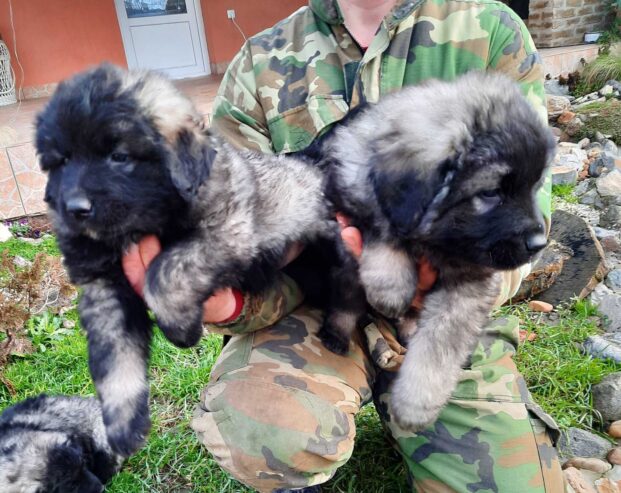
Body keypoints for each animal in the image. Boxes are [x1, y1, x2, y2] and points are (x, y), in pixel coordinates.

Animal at [312, 71, 556, 428]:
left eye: (535, 187)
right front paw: (391, 286)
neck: (437, 239)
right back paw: (336, 335)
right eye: (491, 192)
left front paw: (416, 405)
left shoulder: (469, 285)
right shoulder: (353, 200)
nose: (539, 244)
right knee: (346, 305)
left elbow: (439, 348)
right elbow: (383, 226)